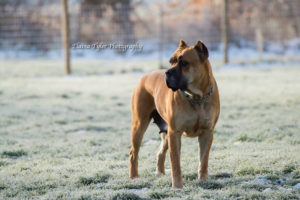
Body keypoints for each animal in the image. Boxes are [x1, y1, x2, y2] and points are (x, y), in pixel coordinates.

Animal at [129, 39, 220, 188]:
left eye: (184, 63)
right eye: (171, 61)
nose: (167, 72)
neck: (196, 97)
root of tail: (144, 77)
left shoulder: (207, 132)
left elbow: (203, 160)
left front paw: (203, 180)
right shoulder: (175, 133)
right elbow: (175, 162)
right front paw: (177, 187)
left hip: (166, 132)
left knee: (160, 153)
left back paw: (160, 173)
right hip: (139, 126)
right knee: (133, 153)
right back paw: (134, 177)